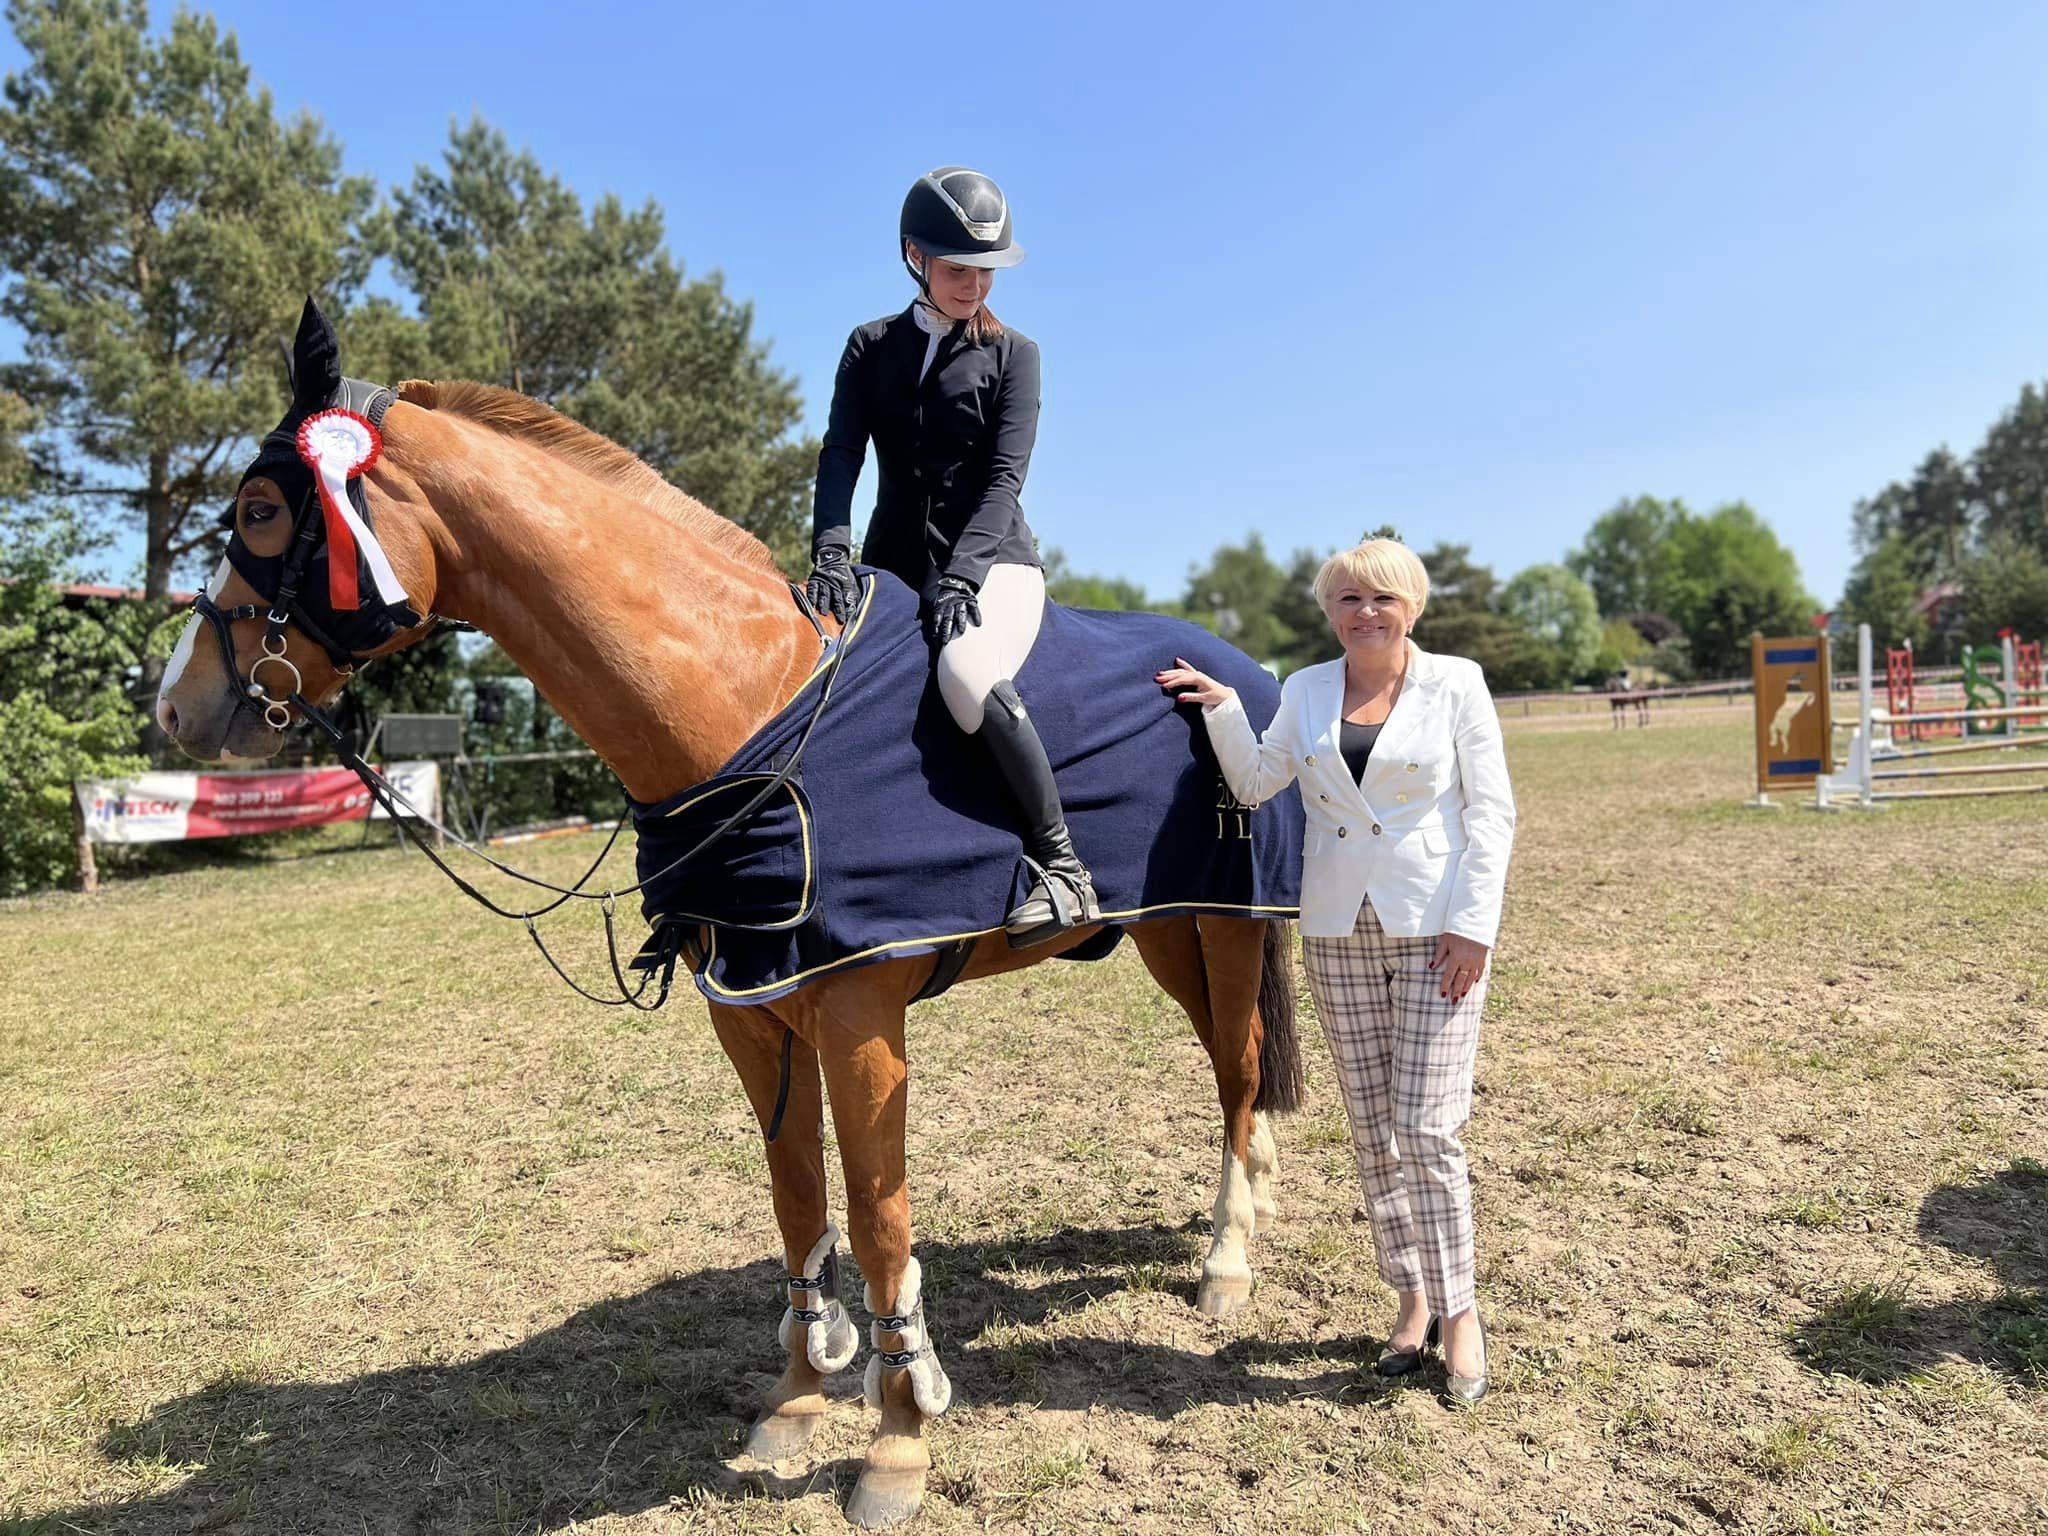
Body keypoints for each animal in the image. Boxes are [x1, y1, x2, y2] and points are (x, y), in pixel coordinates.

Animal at [163, 301, 1310, 1531]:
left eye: (261, 509)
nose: (176, 706)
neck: (744, 700)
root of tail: (1242, 674)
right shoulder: (753, 1009)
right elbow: (797, 1204)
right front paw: (797, 1401)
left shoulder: (860, 1019)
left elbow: (878, 1220)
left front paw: (897, 1443)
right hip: (1168, 928)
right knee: (1228, 1068)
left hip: (1230, 919)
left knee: (1239, 1073)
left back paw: (1226, 1264)